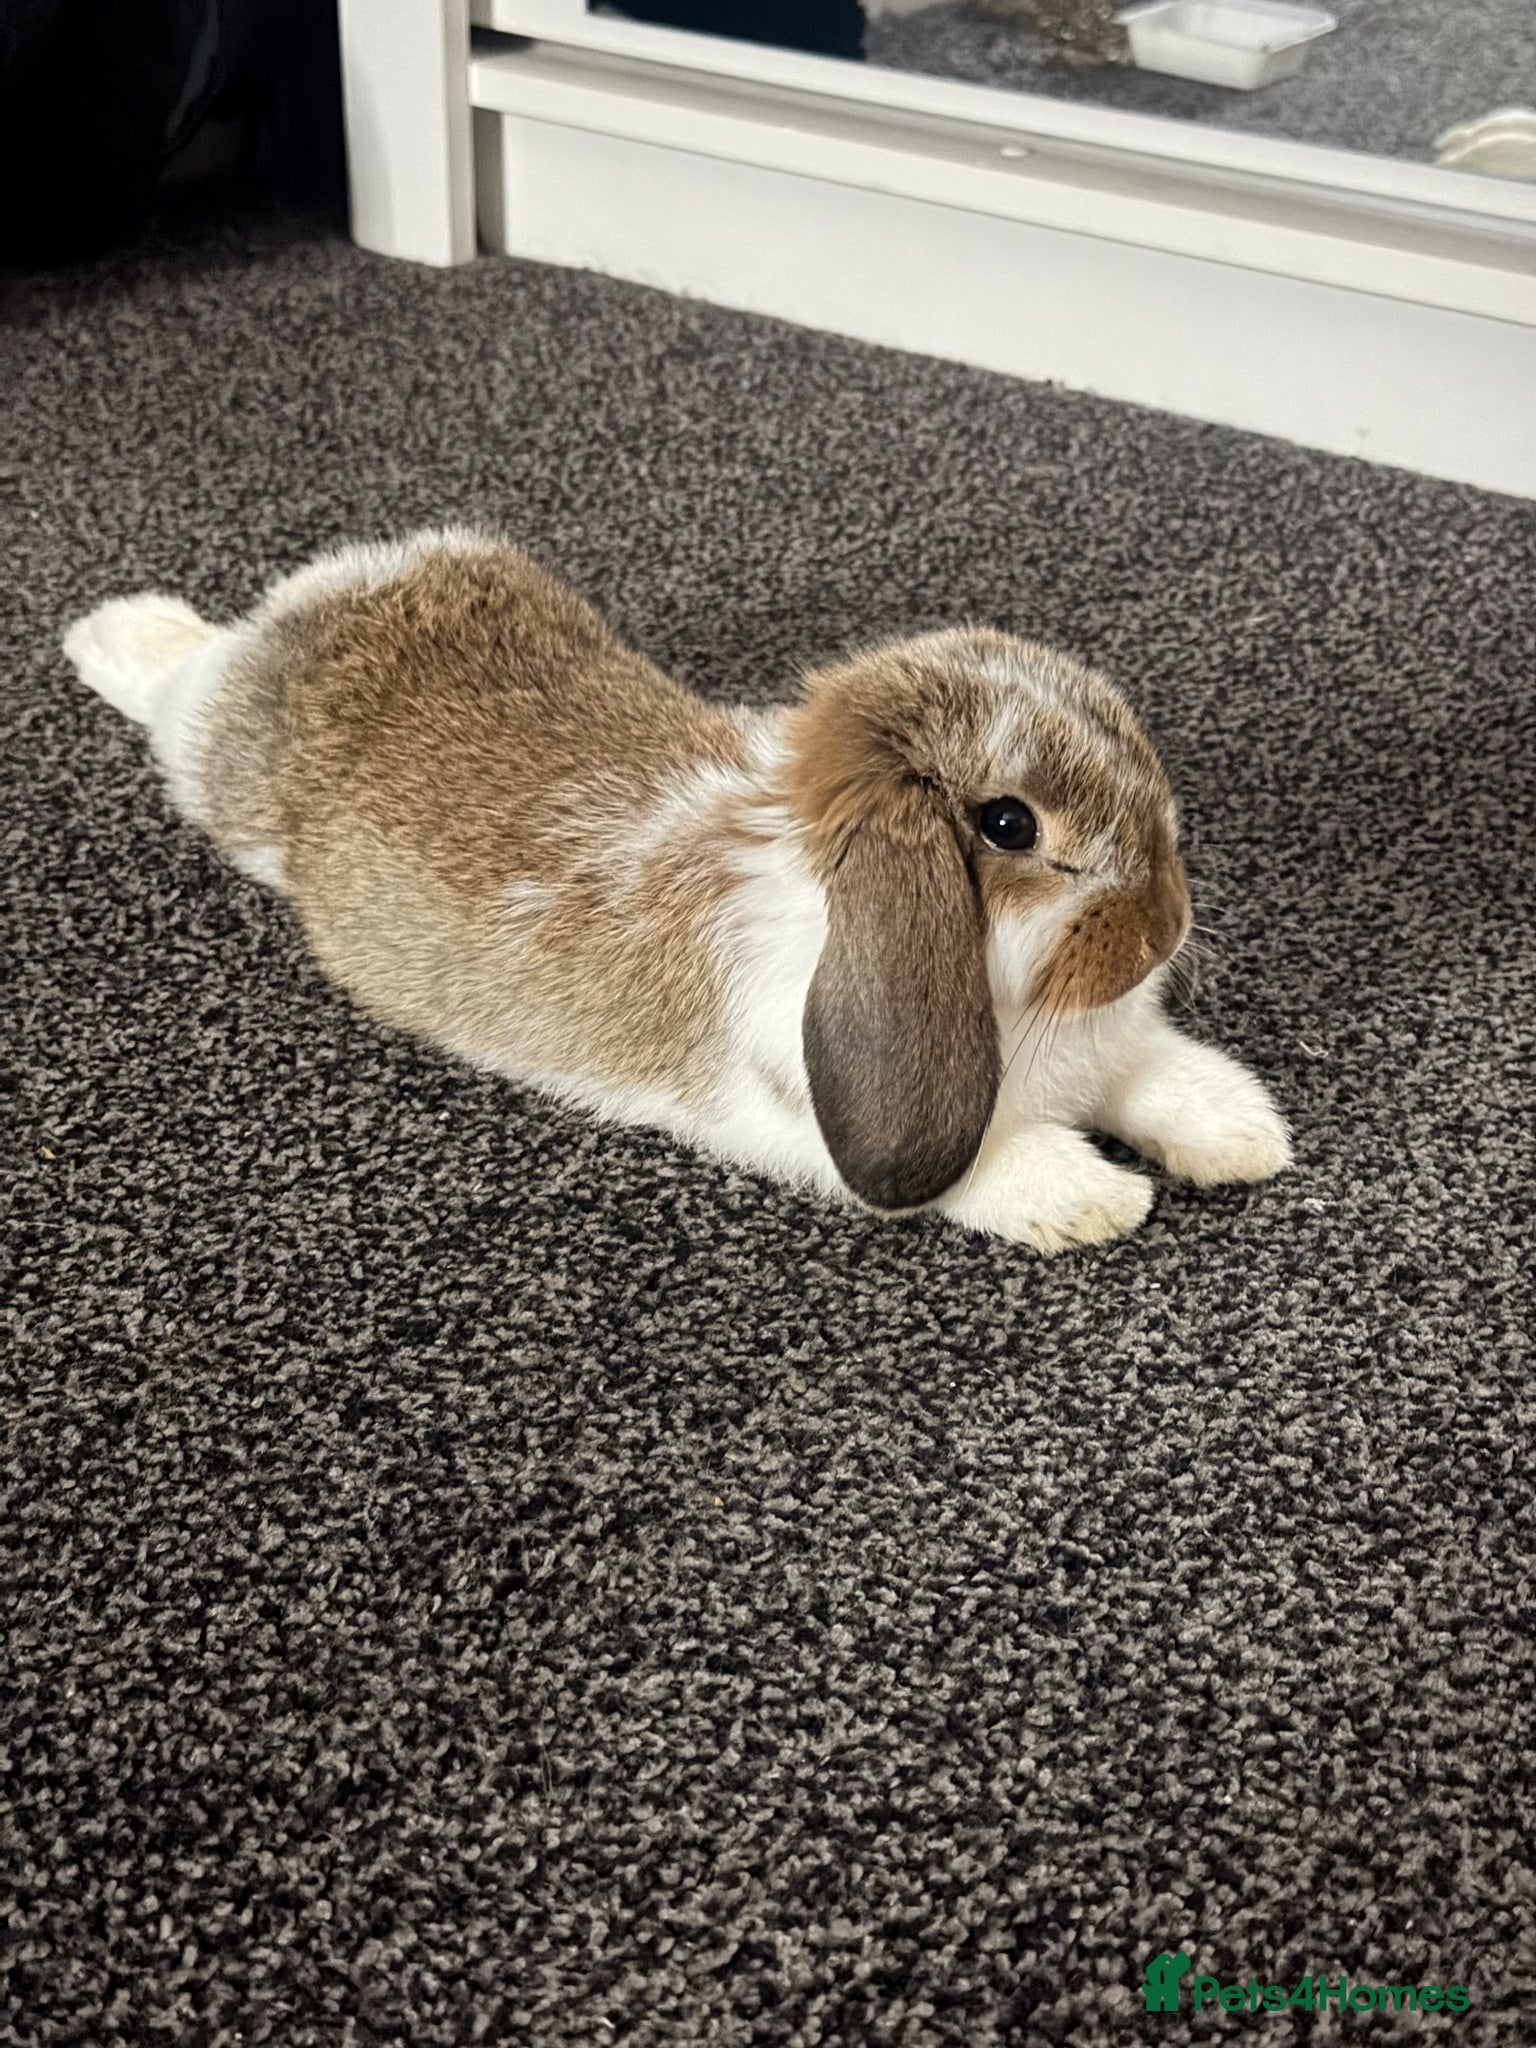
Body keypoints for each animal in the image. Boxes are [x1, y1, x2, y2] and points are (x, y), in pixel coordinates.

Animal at [63, 528, 1290, 1251]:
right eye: (1008, 824)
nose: (1165, 930)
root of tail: (339, 585)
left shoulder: (1111, 1049)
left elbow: (1163, 1076)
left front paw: (1247, 1138)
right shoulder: (833, 1117)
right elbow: (981, 1163)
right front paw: (1097, 1202)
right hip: (211, 758)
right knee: (170, 674)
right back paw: (113, 625)